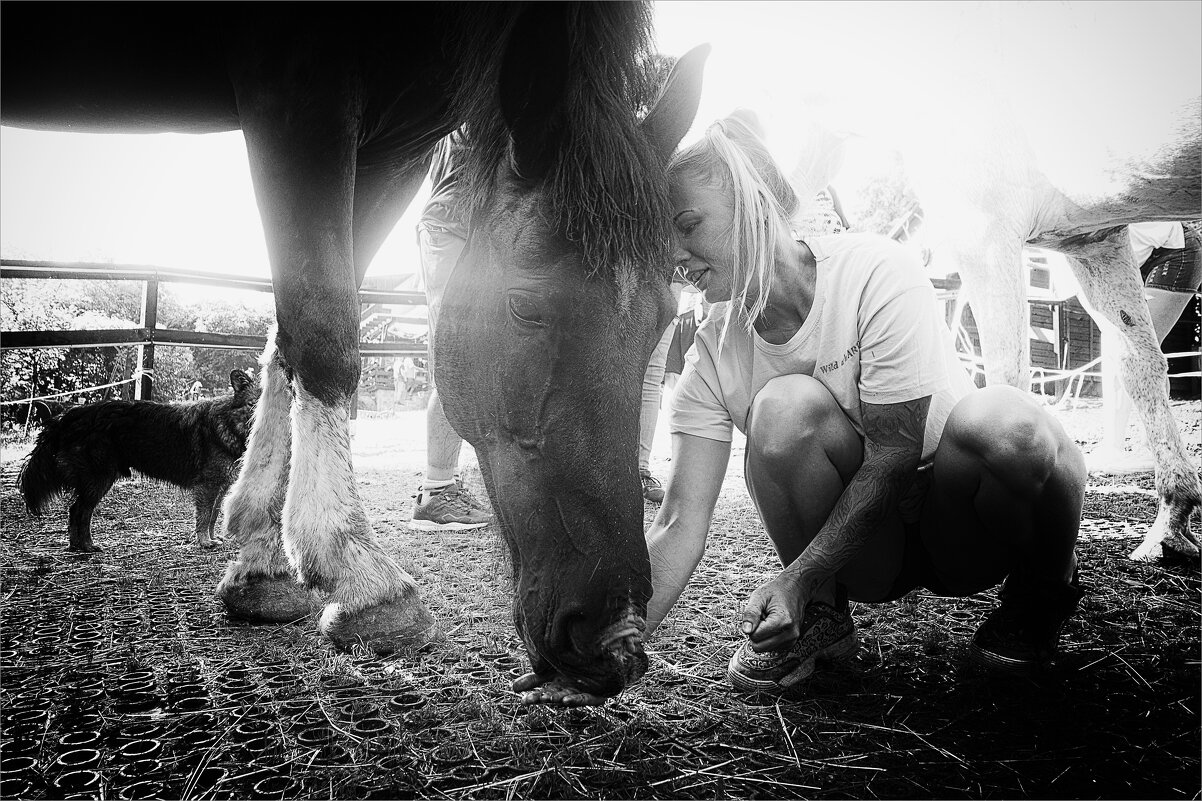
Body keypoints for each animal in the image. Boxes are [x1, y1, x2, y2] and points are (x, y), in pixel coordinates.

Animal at [18, 370, 259, 548]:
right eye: (251, 404)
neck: (228, 422)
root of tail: (70, 415)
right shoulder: (207, 486)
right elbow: (205, 516)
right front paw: (204, 542)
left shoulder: (219, 487)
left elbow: (213, 516)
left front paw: (212, 538)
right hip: (99, 479)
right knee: (80, 511)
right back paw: (87, 545)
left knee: (76, 512)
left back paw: (78, 546)